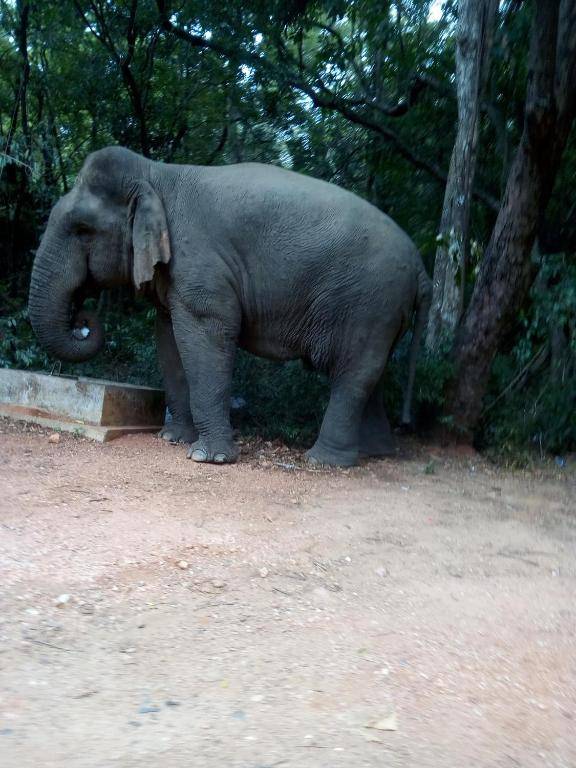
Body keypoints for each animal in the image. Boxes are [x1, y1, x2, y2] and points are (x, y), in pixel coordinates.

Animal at [28, 146, 432, 464]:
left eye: (82, 229)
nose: (83, 320)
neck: (156, 172)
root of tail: (421, 266)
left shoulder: (200, 262)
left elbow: (207, 333)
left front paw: (208, 458)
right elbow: (168, 338)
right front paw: (173, 439)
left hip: (371, 300)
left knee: (353, 373)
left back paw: (323, 461)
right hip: (382, 309)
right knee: (372, 374)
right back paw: (374, 454)